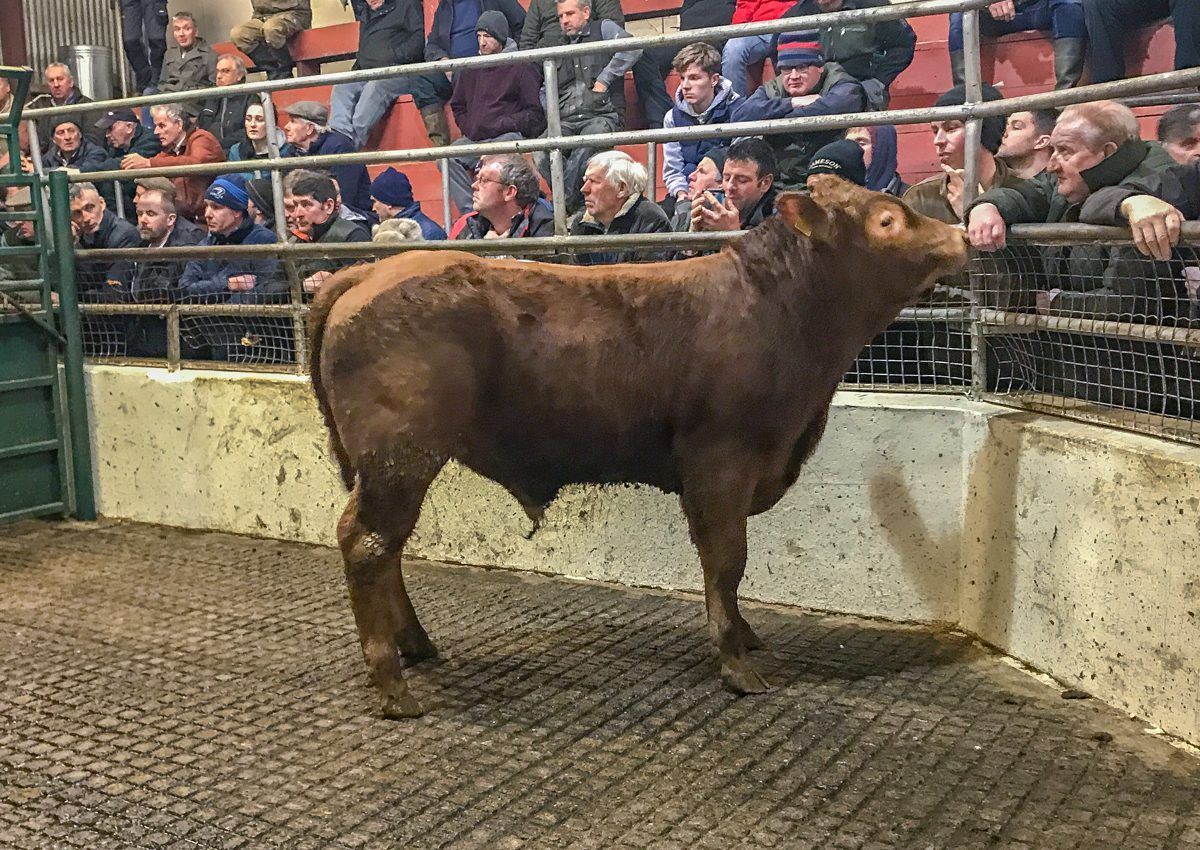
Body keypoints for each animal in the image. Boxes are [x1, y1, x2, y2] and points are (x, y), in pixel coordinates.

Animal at [309, 176, 969, 719]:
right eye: (887, 220)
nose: (963, 233)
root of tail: (369, 273)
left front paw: (745, 635)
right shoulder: (720, 463)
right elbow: (727, 562)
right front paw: (736, 663)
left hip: (388, 465)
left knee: (385, 546)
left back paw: (416, 645)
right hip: (399, 456)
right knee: (368, 545)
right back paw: (393, 684)